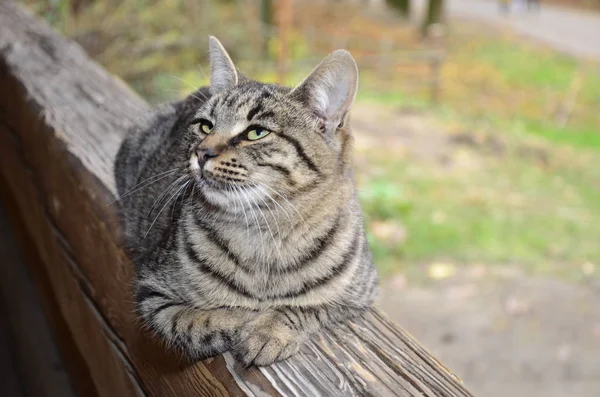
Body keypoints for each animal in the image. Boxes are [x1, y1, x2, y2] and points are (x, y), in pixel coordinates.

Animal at [115, 36, 378, 366]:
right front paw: (239, 320)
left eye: (256, 132)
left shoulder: (357, 295)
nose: (201, 152)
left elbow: (303, 308)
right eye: (205, 126)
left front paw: (269, 330)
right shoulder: (152, 293)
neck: (265, 233)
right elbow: (194, 320)